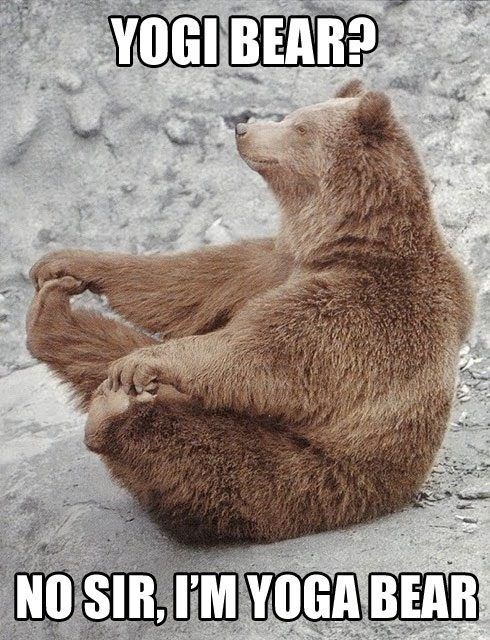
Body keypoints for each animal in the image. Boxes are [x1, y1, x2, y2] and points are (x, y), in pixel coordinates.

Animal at [26, 80, 474, 543]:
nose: (243, 127)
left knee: (209, 456)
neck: (339, 239)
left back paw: (111, 409)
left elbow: (260, 356)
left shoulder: (365, 310)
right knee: (106, 350)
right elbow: (185, 283)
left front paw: (148, 361)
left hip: (314, 477)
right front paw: (64, 262)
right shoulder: (272, 266)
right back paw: (52, 313)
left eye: (300, 126)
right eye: (293, 114)